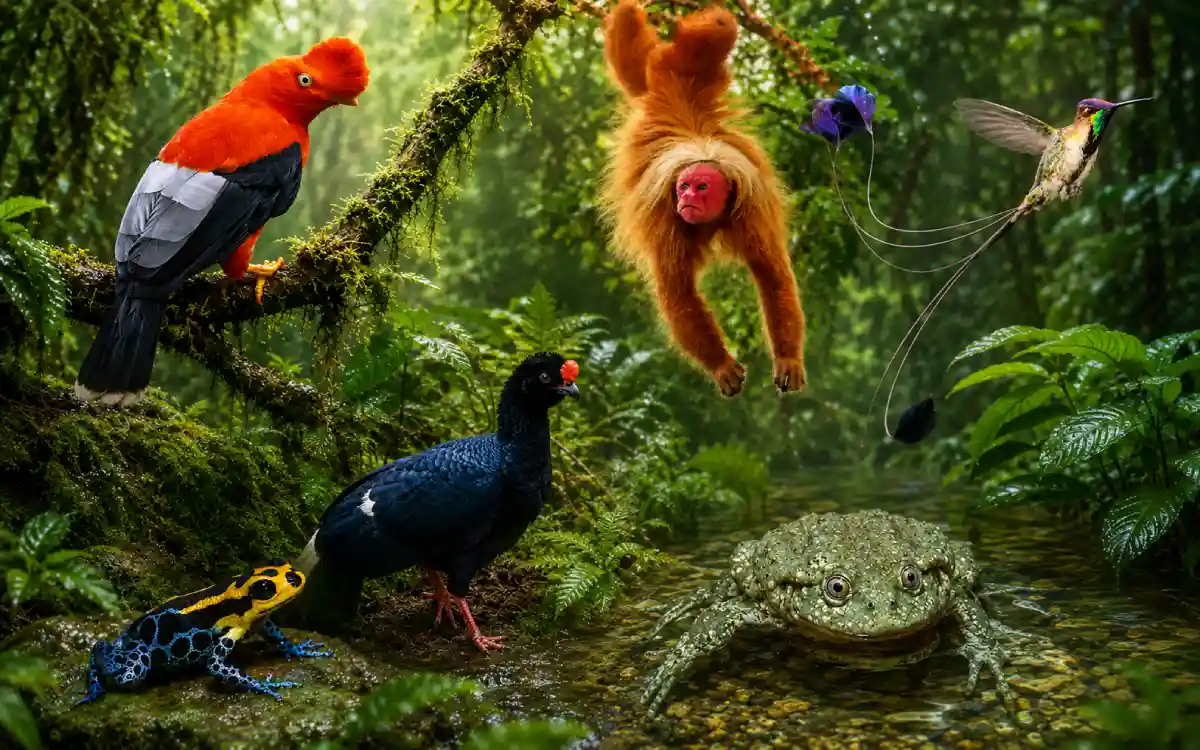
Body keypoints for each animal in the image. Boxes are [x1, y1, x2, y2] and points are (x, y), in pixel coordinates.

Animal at [597, 0, 807, 397]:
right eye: (683, 187)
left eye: (702, 187)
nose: (687, 199)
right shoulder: (666, 218)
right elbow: (677, 292)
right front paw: (721, 365)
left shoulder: (752, 211)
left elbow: (772, 276)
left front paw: (788, 358)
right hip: (668, 73)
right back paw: (632, 8)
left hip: (682, 73)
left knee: (720, 27)